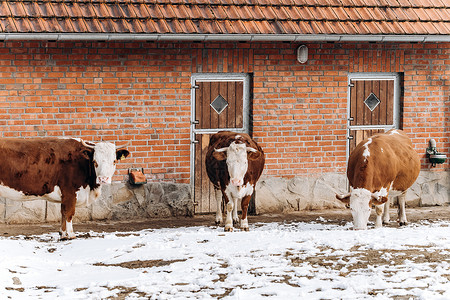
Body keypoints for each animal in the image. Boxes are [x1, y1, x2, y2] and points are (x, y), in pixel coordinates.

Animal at [0, 138, 130, 239]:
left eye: (114, 161)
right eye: (94, 161)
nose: (103, 179)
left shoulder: (65, 196)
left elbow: (62, 213)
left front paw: (62, 234)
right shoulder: (70, 192)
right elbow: (69, 213)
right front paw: (71, 235)